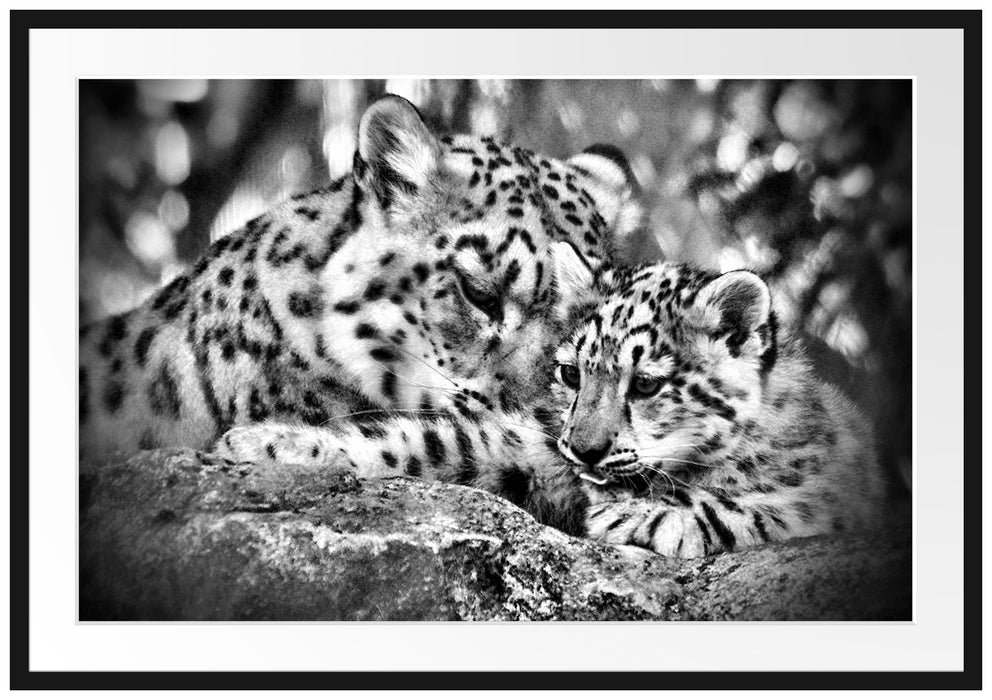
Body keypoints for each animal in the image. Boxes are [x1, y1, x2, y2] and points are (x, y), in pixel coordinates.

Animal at [214, 256, 888, 557]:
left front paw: (641, 514)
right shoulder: (530, 448)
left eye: (646, 384)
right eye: (571, 373)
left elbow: (759, 509)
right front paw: (268, 444)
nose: (584, 449)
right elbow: (425, 441)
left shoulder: (834, 492)